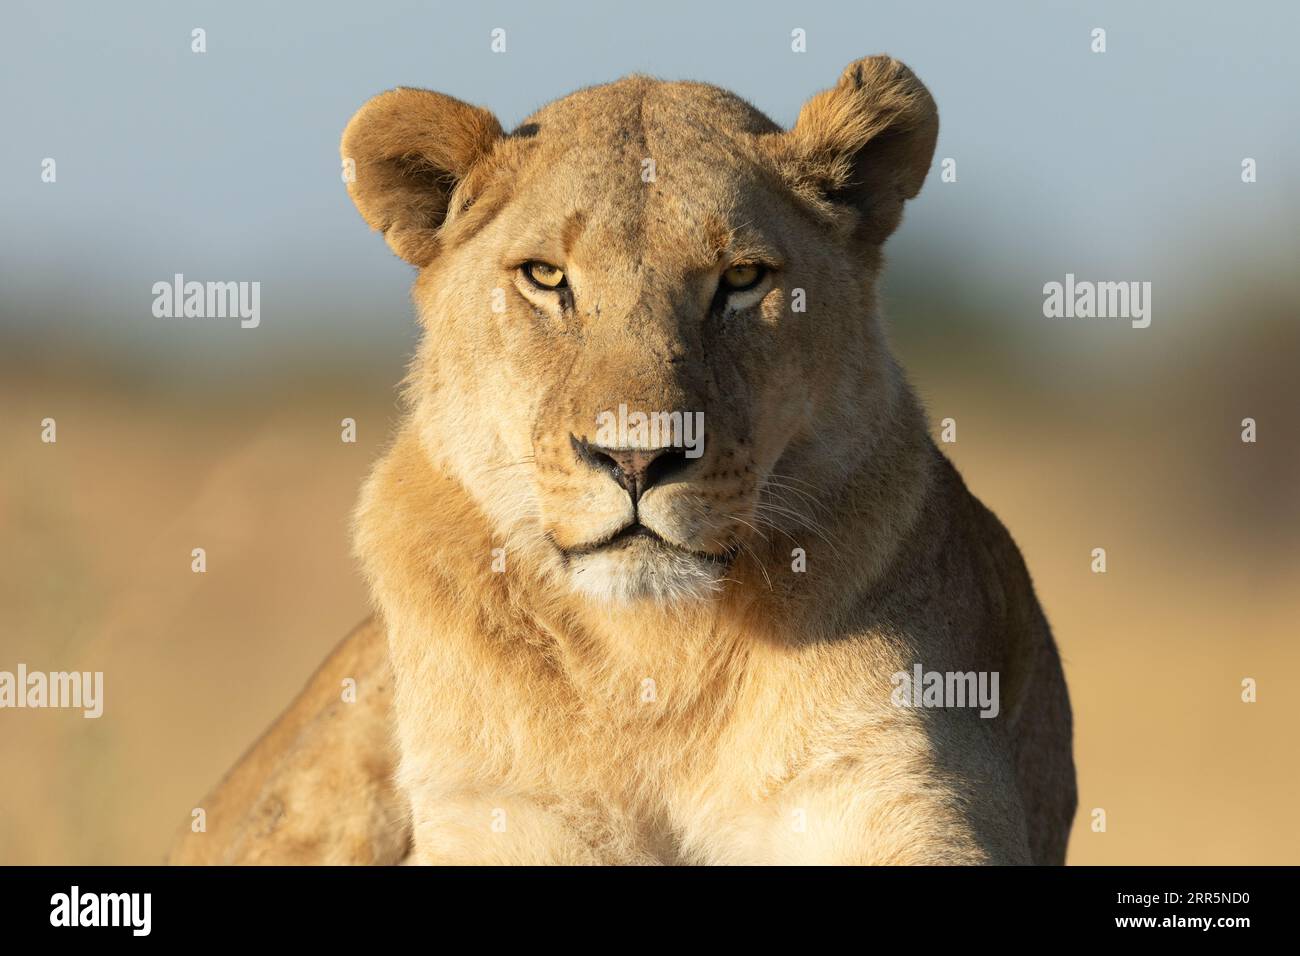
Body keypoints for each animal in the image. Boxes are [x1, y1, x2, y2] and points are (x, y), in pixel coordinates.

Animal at [170, 57, 1076, 868]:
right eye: (545, 277)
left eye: (743, 278)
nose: (637, 459)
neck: (649, 659)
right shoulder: (496, 811)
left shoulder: (903, 785)